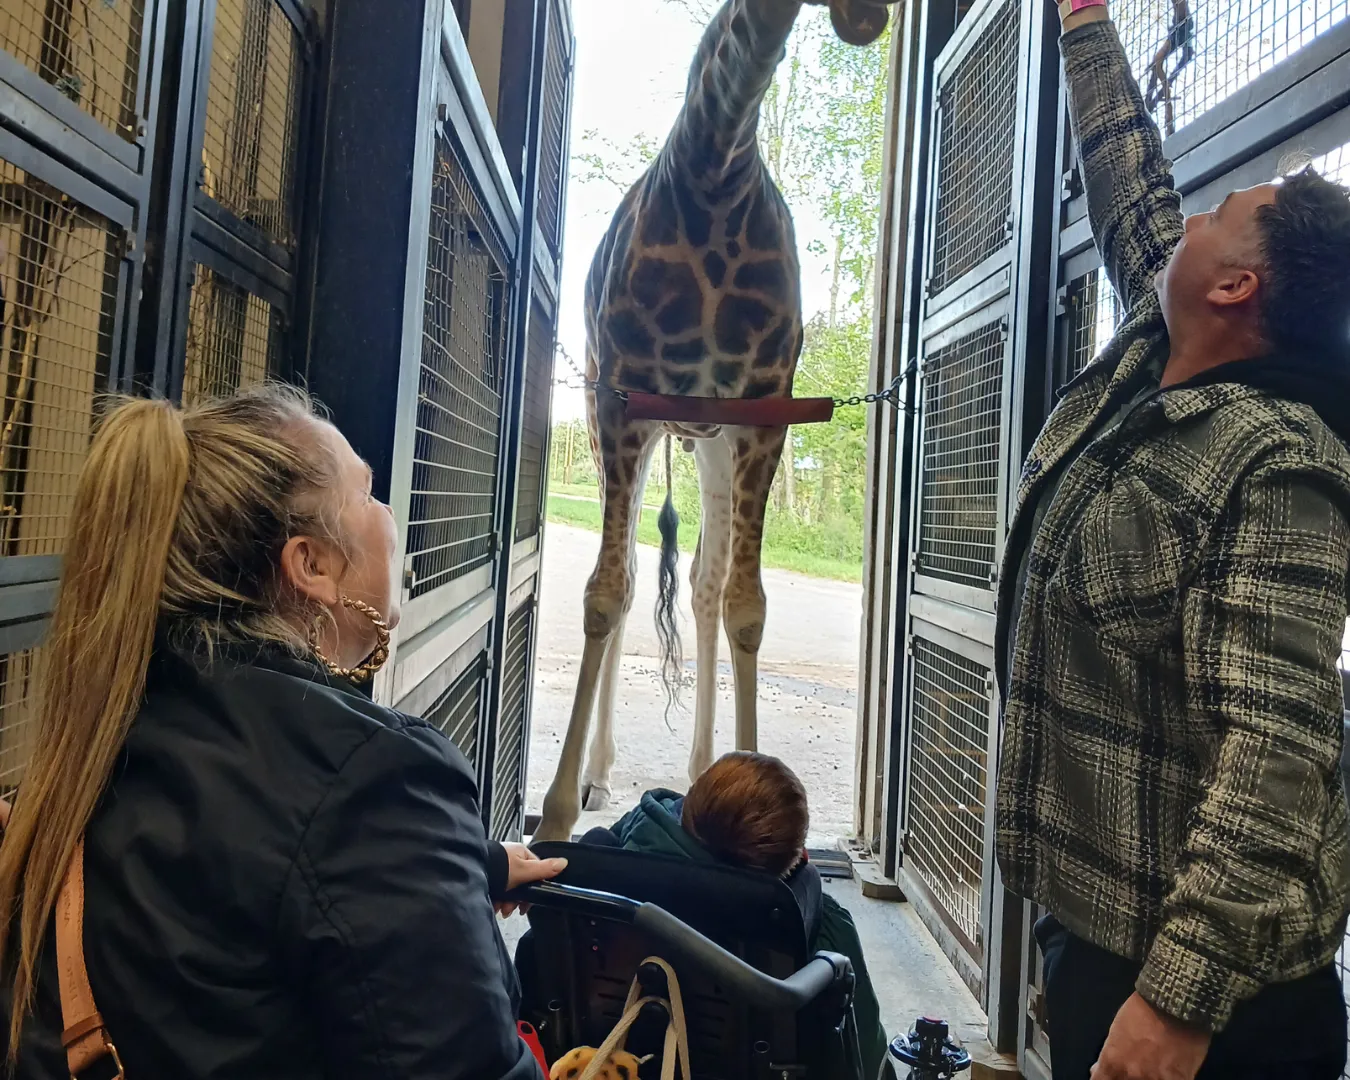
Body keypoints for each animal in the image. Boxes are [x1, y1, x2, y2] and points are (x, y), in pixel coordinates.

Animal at [534, 0, 897, 843]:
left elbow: (744, 605)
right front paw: (555, 817)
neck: (716, 167)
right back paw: (599, 774)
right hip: (619, 417)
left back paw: (702, 768)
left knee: (699, 580)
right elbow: (604, 593)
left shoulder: (762, 414)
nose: (866, 18)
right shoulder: (623, 403)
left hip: (708, 442)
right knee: (634, 580)